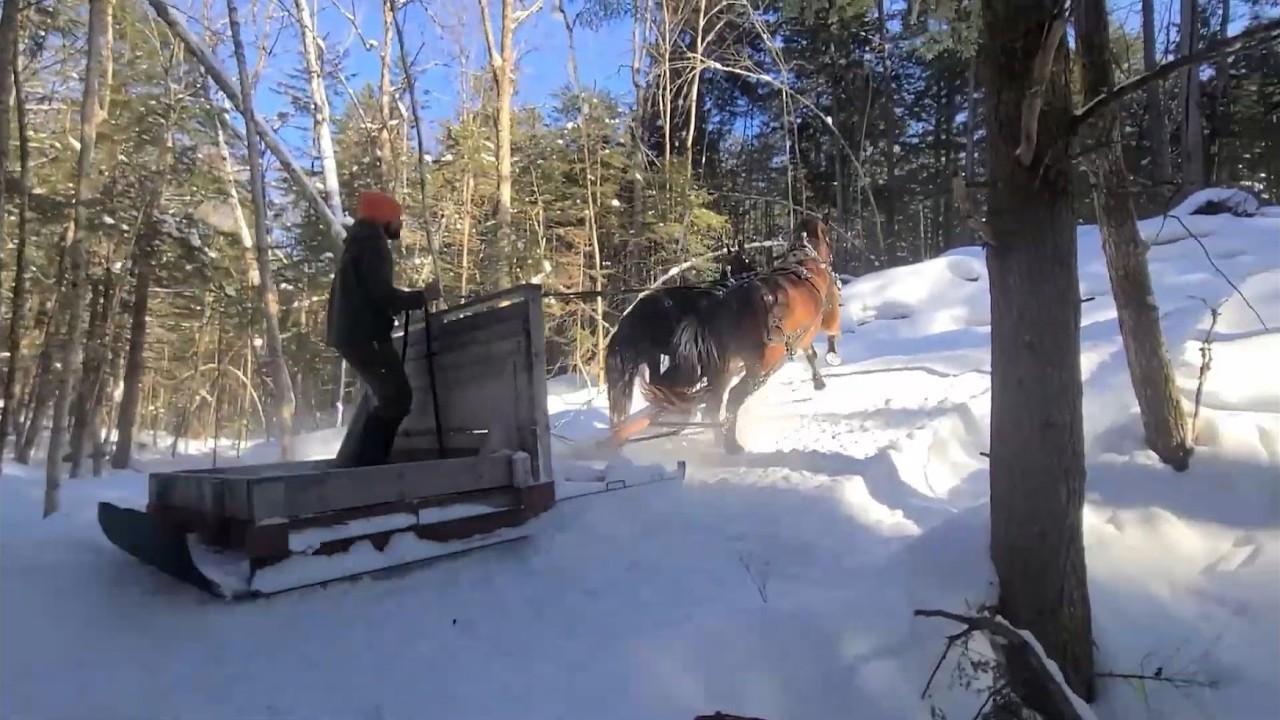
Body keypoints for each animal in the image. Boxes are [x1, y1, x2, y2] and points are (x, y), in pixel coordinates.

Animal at [648, 215, 842, 454]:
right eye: (829, 236)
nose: (831, 258)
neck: (806, 260)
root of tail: (725, 304)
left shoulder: (803, 335)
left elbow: (810, 352)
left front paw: (818, 380)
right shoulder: (828, 313)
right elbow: (832, 333)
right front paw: (832, 357)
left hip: (723, 367)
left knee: (714, 402)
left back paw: (719, 436)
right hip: (759, 367)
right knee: (732, 398)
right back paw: (732, 444)